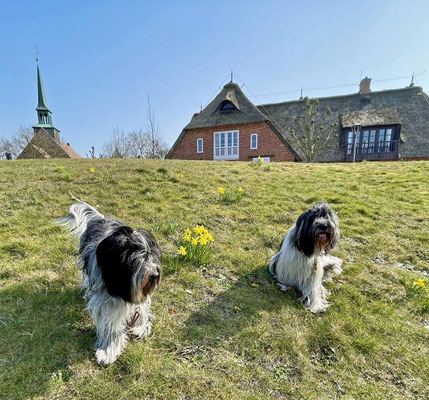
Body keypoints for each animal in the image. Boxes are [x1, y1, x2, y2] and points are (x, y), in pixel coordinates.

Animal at [56, 202, 161, 364]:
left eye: (150, 255)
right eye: (135, 259)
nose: (155, 275)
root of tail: (101, 219)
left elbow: (141, 308)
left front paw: (141, 326)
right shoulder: (105, 297)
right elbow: (110, 324)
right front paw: (108, 350)